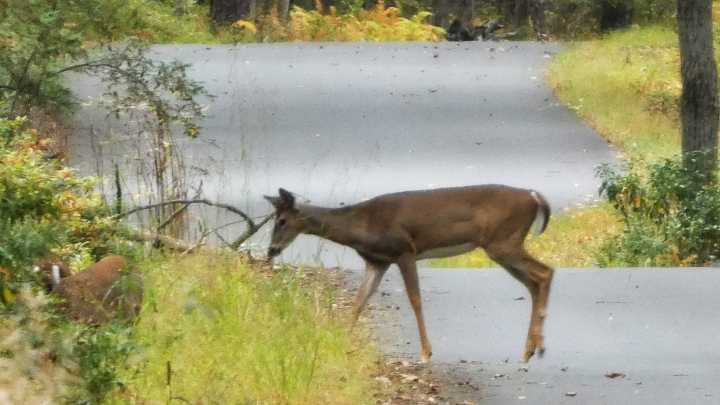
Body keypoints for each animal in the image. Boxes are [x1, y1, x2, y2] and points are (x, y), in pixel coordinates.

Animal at [265, 185, 554, 363]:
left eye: (282, 221)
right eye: (273, 220)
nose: (271, 250)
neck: (360, 226)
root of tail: (534, 196)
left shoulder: (405, 250)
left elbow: (415, 299)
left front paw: (426, 352)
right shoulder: (377, 261)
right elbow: (359, 301)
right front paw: (342, 342)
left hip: (504, 241)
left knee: (545, 272)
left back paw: (536, 347)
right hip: (503, 244)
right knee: (535, 281)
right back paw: (531, 349)